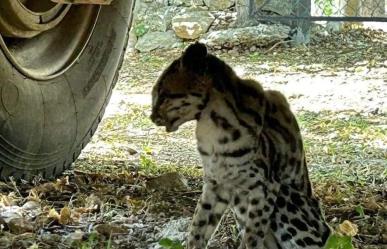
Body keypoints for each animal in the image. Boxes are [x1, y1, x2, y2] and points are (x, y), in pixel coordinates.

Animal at [150, 43, 332, 249]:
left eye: (163, 95)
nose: (152, 116)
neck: (212, 128)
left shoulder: (265, 187)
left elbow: (252, 236)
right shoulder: (216, 183)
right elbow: (198, 225)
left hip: (285, 197)